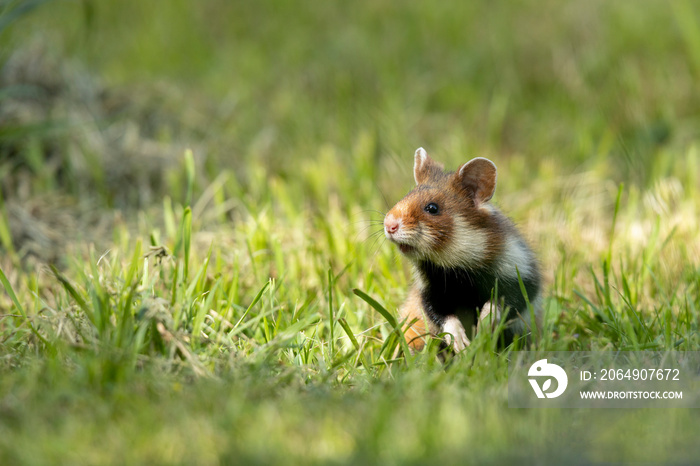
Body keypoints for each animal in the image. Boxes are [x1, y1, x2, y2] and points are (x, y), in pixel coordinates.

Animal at [382, 147, 540, 352]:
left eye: (432, 208)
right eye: (405, 196)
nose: (388, 225)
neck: (458, 265)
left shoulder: (522, 278)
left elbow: (500, 304)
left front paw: (482, 329)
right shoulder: (431, 292)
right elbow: (443, 315)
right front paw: (461, 344)